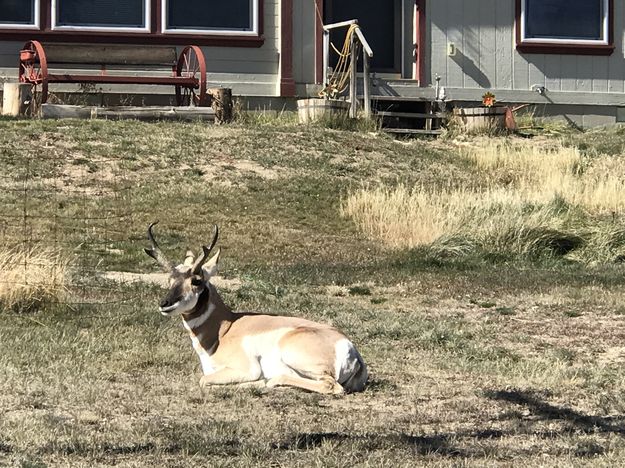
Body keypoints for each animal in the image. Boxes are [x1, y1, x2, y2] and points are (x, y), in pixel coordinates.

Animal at [144, 223, 368, 394]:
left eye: (196, 280)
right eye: (170, 279)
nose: (165, 304)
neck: (224, 330)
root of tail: (351, 349)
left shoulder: (244, 369)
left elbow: (203, 380)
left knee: (330, 386)